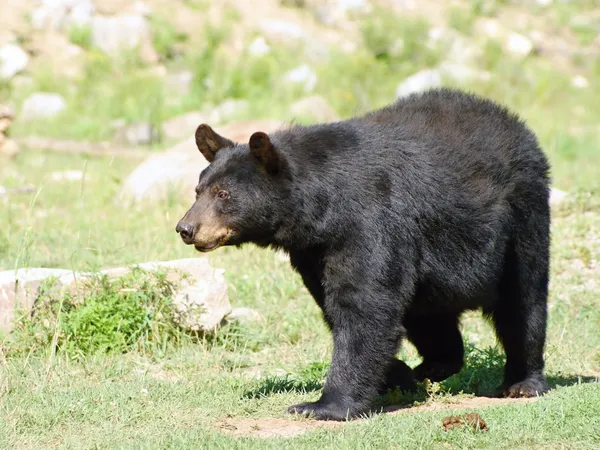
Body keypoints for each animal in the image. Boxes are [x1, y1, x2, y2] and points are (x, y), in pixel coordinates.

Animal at [176, 89, 552, 422]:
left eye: (224, 194)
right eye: (198, 190)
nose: (186, 228)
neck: (320, 208)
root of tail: (515, 123)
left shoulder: (368, 221)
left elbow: (364, 304)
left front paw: (323, 405)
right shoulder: (313, 251)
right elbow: (339, 303)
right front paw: (394, 374)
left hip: (522, 216)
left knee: (522, 300)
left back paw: (522, 381)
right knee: (427, 314)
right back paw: (433, 365)